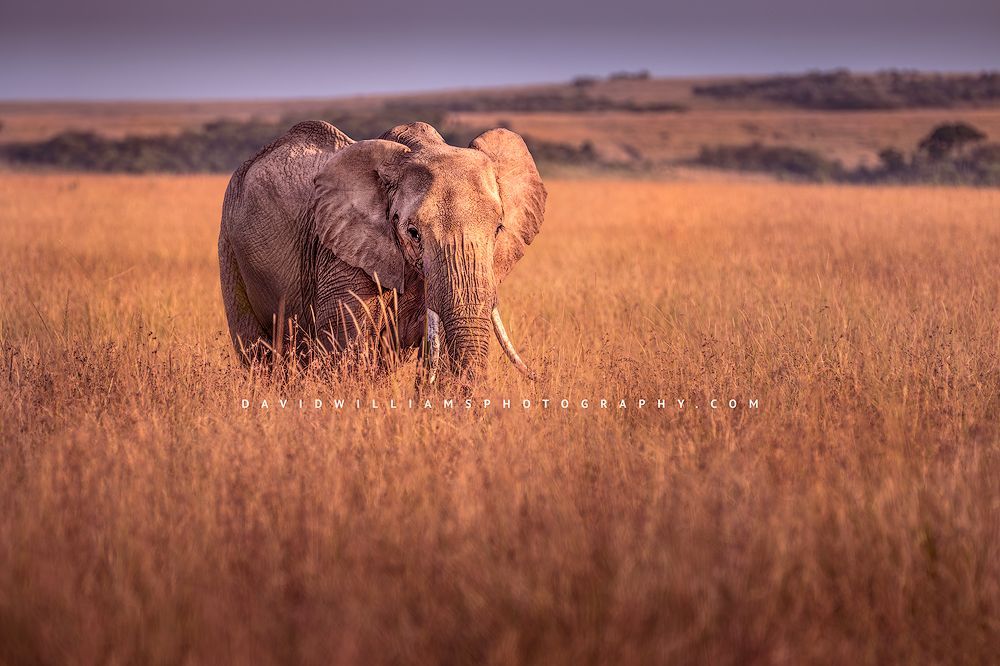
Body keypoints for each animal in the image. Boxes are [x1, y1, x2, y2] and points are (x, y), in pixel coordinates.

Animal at [218, 120, 546, 383]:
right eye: (413, 232)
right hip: (230, 247)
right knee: (258, 354)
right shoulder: (340, 253)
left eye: (498, 229)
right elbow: (347, 350)